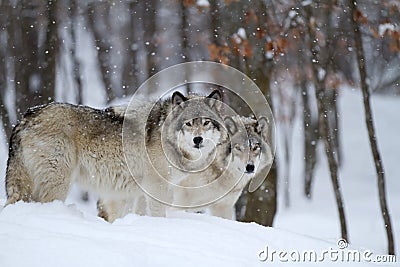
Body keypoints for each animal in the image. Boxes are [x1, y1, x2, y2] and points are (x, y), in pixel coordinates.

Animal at [4, 89, 227, 222]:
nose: (198, 140)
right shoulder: (156, 188)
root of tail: (24, 118)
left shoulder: (139, 192)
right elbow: (157, 214)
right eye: (188, 123)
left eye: (206, 122)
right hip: (58, 184)